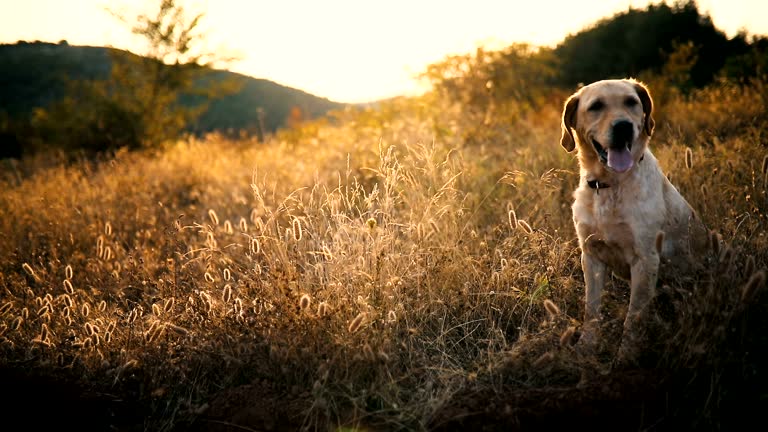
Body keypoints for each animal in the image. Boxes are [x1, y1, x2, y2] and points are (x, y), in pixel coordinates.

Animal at [560, 78, 708, 362]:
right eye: (596, 106)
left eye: (631, 102)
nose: (623, 127)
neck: (610, 185)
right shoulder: (591, 256)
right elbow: (591, 310)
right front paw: (586, 349)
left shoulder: (645, 259)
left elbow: (633, 318)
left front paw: (625, 358)